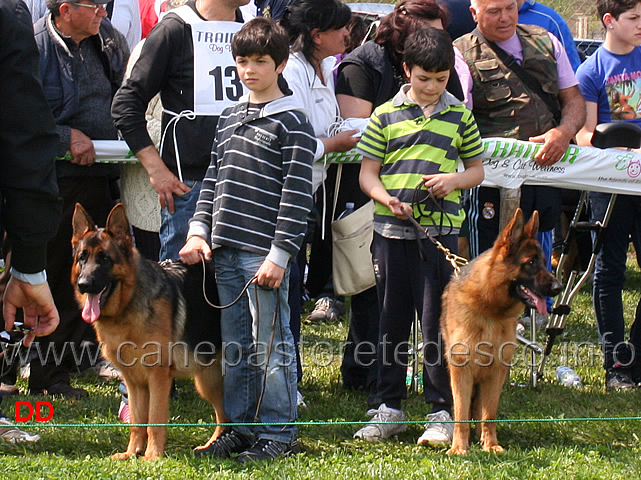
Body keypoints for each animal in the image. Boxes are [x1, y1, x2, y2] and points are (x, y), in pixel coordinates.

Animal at [71, 202, 226, 462]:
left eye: (104, 259)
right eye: (82, 258)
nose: (84, 284)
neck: (127, 307)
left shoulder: (157, 378)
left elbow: (154, 420)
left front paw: (152, 456)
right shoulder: (134, 382)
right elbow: (137, 421)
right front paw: (131, 452)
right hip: (208, 380)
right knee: (224, 416)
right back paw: (212, 445)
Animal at [440, 209, 560, 454]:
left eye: (545, 263)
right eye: (530, 262)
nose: (558, 287)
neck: (489, 309)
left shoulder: (496, 372)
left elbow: (489, 415)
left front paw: (491, 444)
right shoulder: (462, 372)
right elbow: (461, 415)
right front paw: (459, 448)